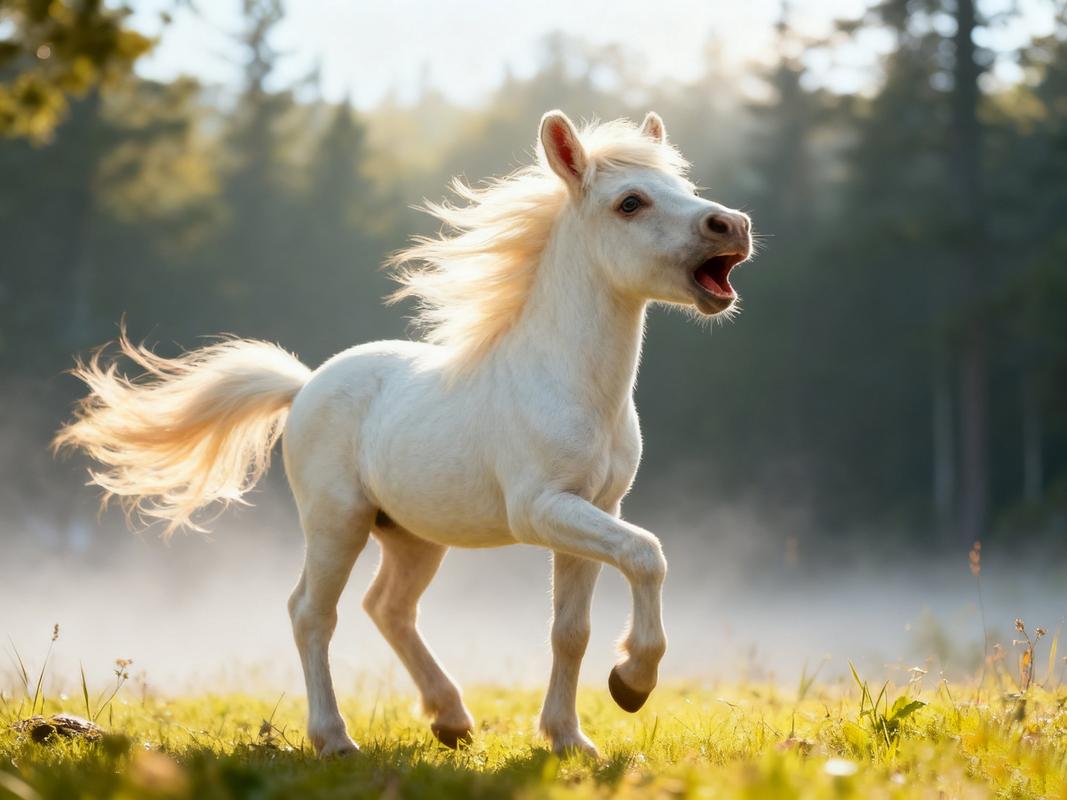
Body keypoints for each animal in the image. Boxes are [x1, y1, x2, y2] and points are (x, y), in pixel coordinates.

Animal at [55, 110, 753, 758]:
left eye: (684, 186)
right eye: (630, 202)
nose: (733, 226)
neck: (569, 384)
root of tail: (304, 387)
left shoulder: (596, 507)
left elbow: (571, 630)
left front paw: (570, 739)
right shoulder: (541, 509)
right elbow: (647, 553)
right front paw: (632, 682)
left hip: (413, 535)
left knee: (387, 608)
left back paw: (451, 720)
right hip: (337, 521)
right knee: (313, 613)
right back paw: (335, 740)